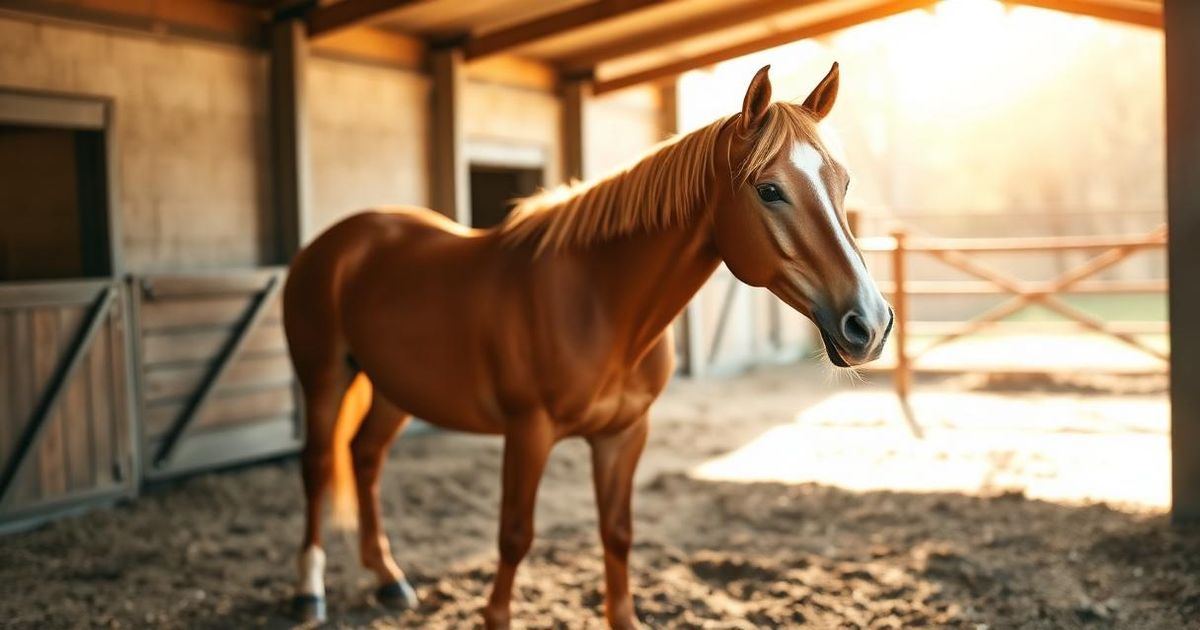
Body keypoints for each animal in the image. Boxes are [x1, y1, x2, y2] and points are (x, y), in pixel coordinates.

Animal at [282, 62, 892, 629]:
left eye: (843, 184)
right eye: (769, 190)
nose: (870, 323)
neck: (599, 303)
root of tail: (338, 242)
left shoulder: (623, 434)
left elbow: (616, 531)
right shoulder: (529, 431)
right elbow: (514, 534)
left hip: (393, 388)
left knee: (365, 457)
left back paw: (388, 580)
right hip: (323, 376)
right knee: (317, 466)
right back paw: (308, 593)